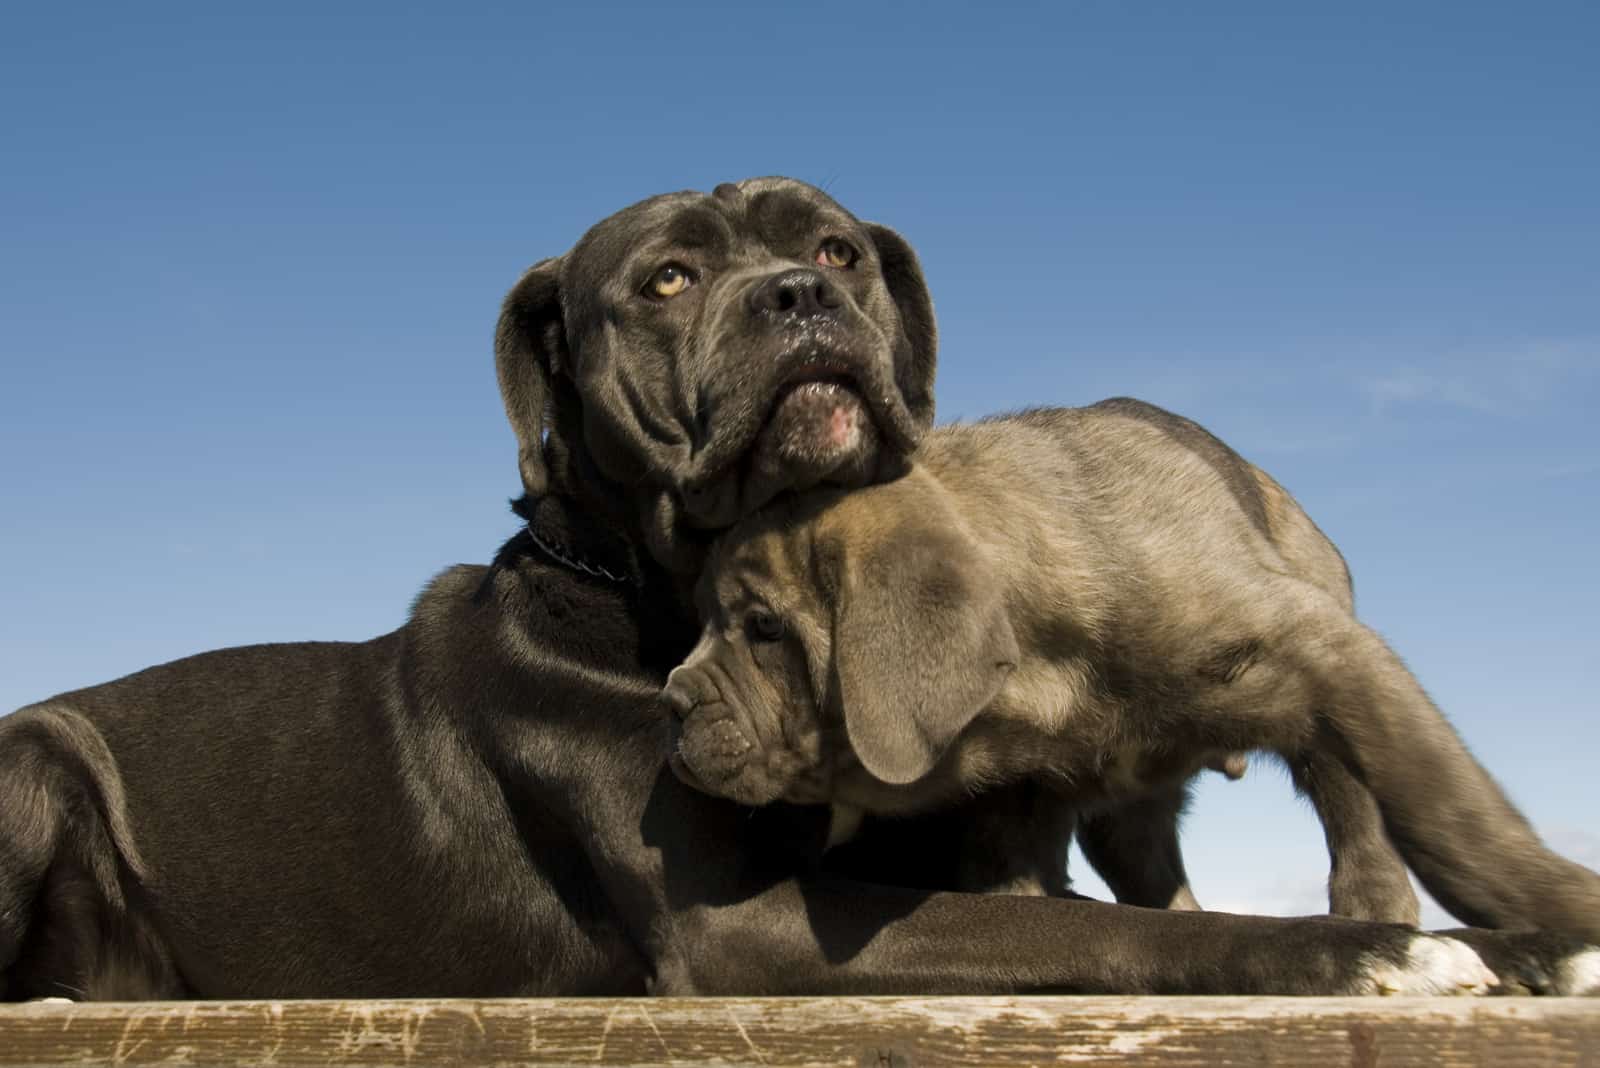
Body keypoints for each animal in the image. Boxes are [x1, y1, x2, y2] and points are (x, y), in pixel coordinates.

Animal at [665, 399, 1600, 991]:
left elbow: (1450, 814)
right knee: (1154, 869)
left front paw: (1559, 915)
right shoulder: (1017, 801)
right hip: (1130, 812)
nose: (672, 703)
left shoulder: (1327, 649)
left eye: (763, 628)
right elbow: (1022, 898)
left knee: (1351, 802)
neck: (1054, 683)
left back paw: (1373, 904)